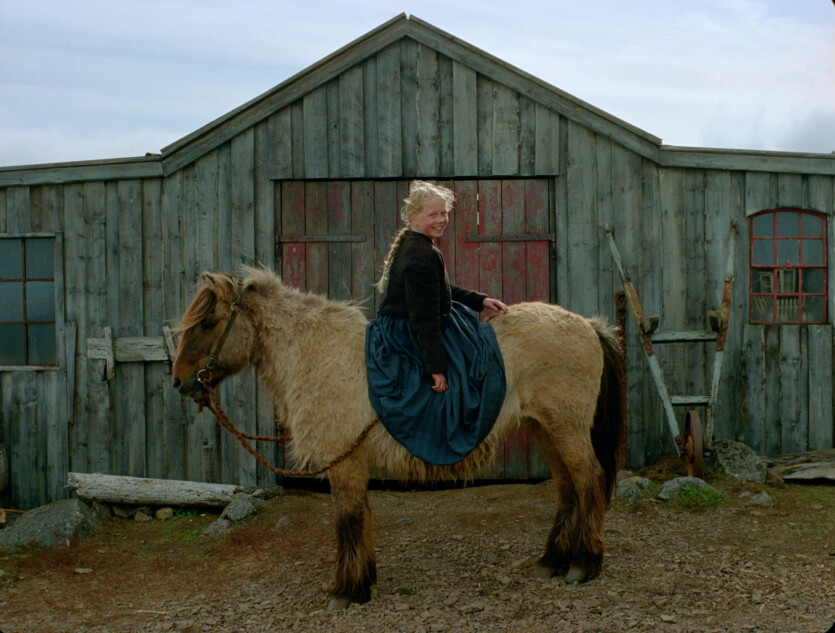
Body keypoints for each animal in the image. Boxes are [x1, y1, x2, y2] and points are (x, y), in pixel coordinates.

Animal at [173, 266, 624, 608]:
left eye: (208, 323)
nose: (180, 381)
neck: (317, 354)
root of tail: (588, 325)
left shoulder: (344, 464)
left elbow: (348, 520)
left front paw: (346, 591)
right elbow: (362, 517)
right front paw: (364, 580)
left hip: (566, 430)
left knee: (589, 482)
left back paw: (584, 565)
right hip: (546, 430)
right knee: (568, 489)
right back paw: (552, 561)